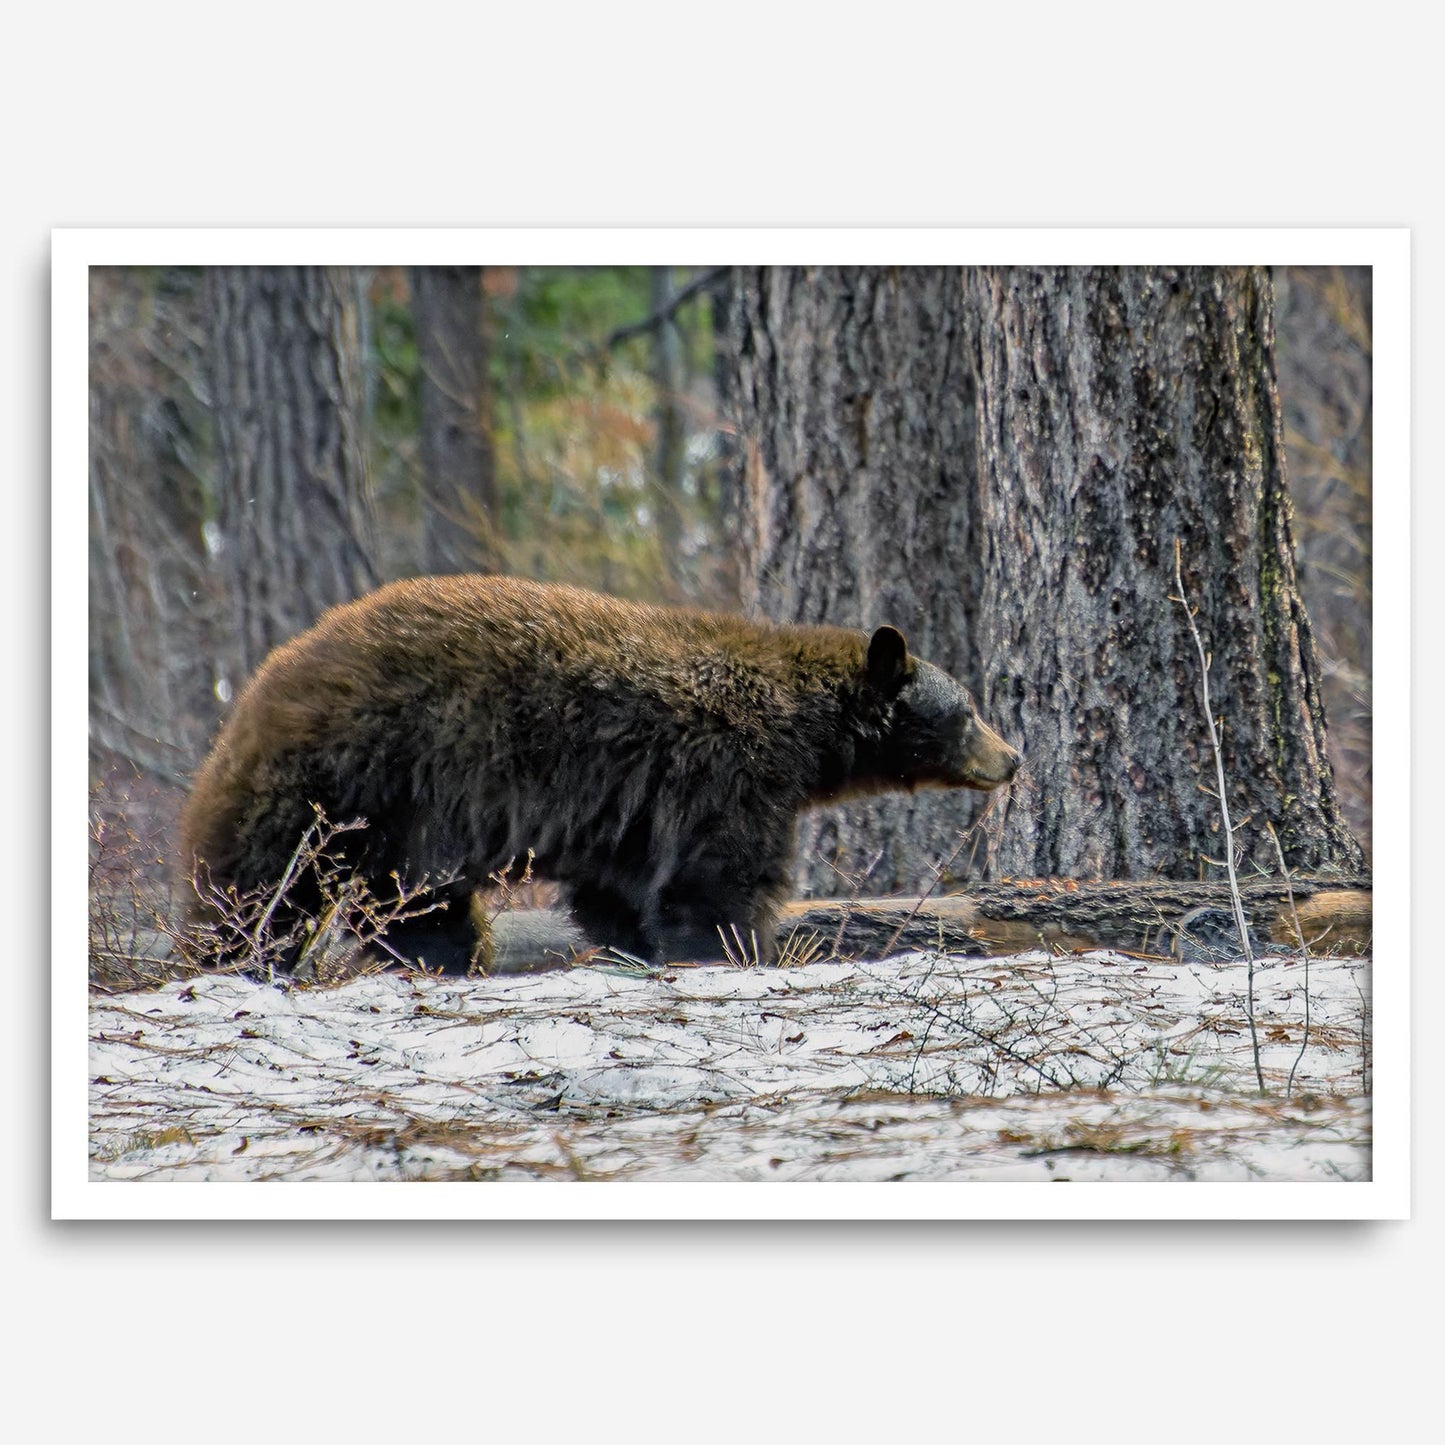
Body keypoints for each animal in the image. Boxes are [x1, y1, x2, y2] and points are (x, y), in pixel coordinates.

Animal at [178, 575, 1021, 974]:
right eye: (968, 709)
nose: (1011, 758)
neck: (804, 733)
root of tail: (259, 686)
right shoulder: (725, 772)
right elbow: (719, 877)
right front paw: (735, 947)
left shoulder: (630, 806)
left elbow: (619, 890)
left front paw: (637, 944)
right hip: (350, 779)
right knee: (263, 884)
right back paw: (233, 952)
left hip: (393, 820)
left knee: (413, 903)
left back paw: (448, 955)